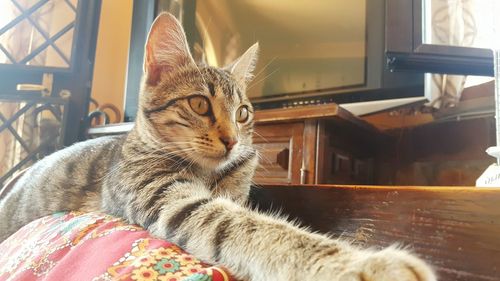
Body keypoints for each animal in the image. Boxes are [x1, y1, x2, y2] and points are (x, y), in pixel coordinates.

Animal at [0, 13, 438, 280]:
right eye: (199, 104)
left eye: (243, 113)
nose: (231, 139)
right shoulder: (166, 197)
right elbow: (245, 227)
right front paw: (364, 264)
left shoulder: (234, 189)